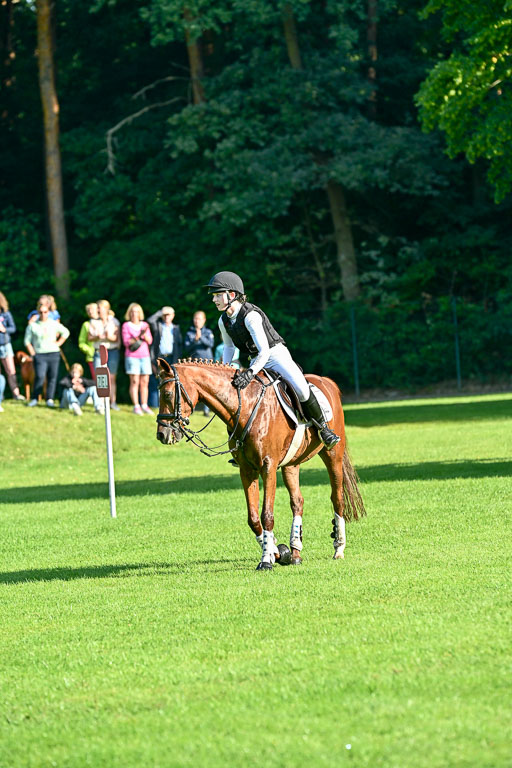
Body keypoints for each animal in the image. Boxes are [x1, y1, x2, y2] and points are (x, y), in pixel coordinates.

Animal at [156, 358, 366, 570]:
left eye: (167, 394)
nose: (162, 434)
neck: (246, 407)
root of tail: (326, 381)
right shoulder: (247, 470)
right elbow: (254, 518)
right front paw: (276, 552)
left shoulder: (268, 467)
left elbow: (267, 515)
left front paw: (266, 560)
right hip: (291, 464)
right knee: (297, 502)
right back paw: (295, 551)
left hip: (332, 455)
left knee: (337, 498)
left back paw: (338, 548)